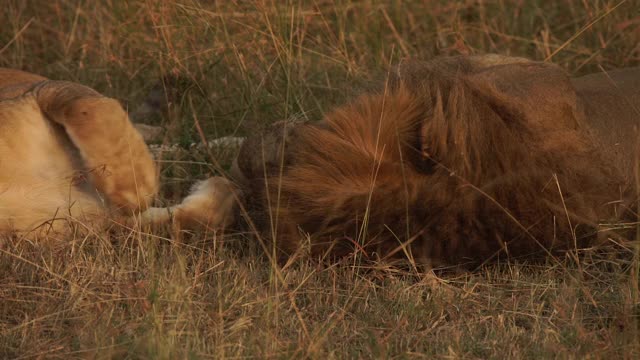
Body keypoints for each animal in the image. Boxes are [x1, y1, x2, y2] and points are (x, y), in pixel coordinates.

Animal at [0, 68, 236, 235]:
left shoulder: (45, 90)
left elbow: (89, 109)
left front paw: (136, 189)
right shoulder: (101, 219)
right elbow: (195, 217)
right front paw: (221, 188)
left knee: (161, 136)